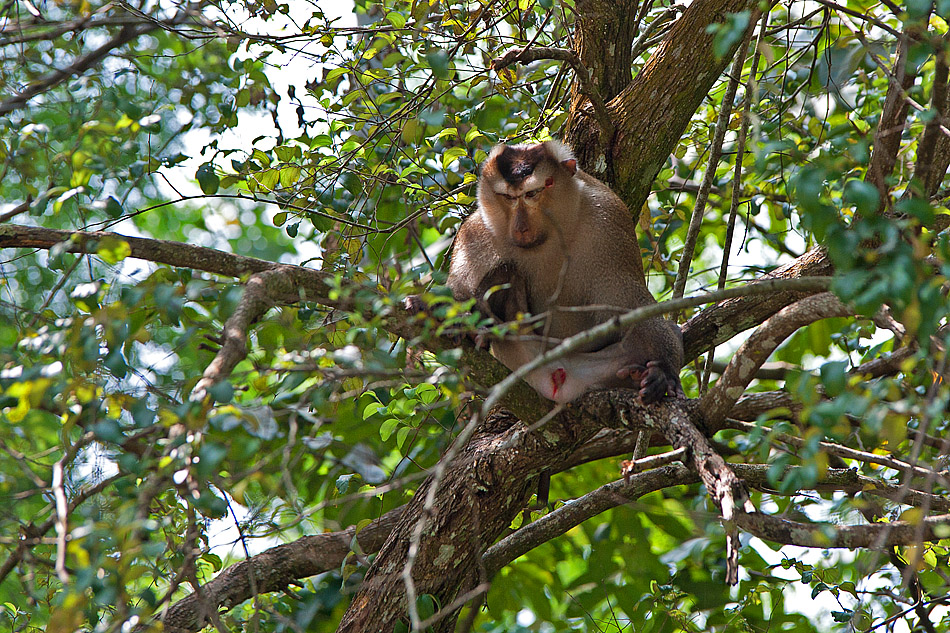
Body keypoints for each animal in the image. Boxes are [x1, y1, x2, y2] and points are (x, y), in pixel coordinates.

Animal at [446, 140, 684, 402]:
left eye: (531, 194)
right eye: (508, 197)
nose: (521, 227)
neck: (549, 237)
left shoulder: (609, 219)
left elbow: (629, 300)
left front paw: (664, 371)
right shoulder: (477, 231)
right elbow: (459, 287)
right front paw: (456, 319)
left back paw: (638, 374)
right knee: (506, 271)